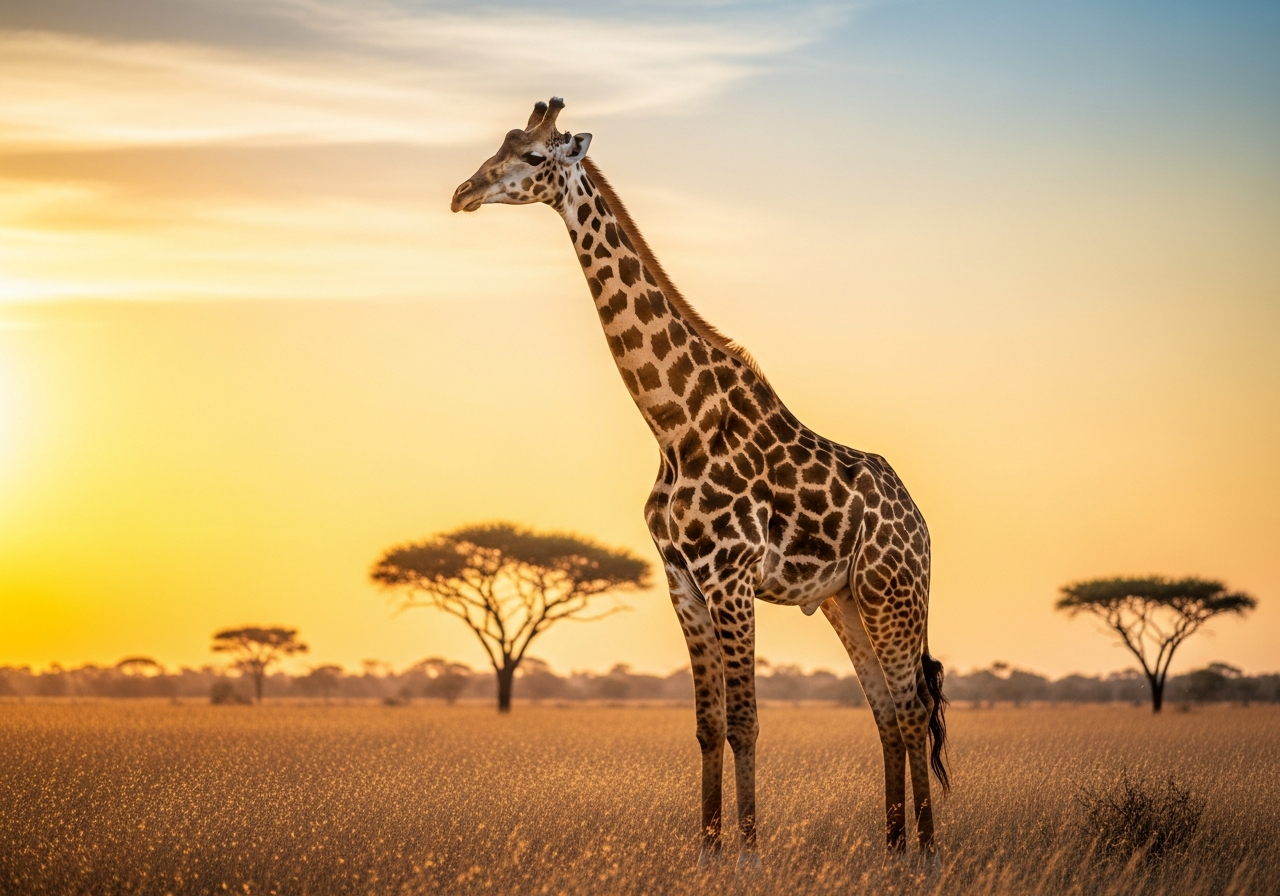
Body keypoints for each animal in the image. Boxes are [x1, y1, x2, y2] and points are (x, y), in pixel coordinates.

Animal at [451, 98, 949, 867]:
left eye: (534, 157)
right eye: (499, 144)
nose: (463, 193)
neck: (674, 423)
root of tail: (920, 521)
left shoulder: (731, 574)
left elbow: (745, 721)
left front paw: (748, 854)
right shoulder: (680, 577)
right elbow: (708, 724)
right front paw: (708, 852)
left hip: (893, 590)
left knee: (916, 707)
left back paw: (925, 852)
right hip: (845, 600)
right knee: (889, 711)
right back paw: (893, 849)